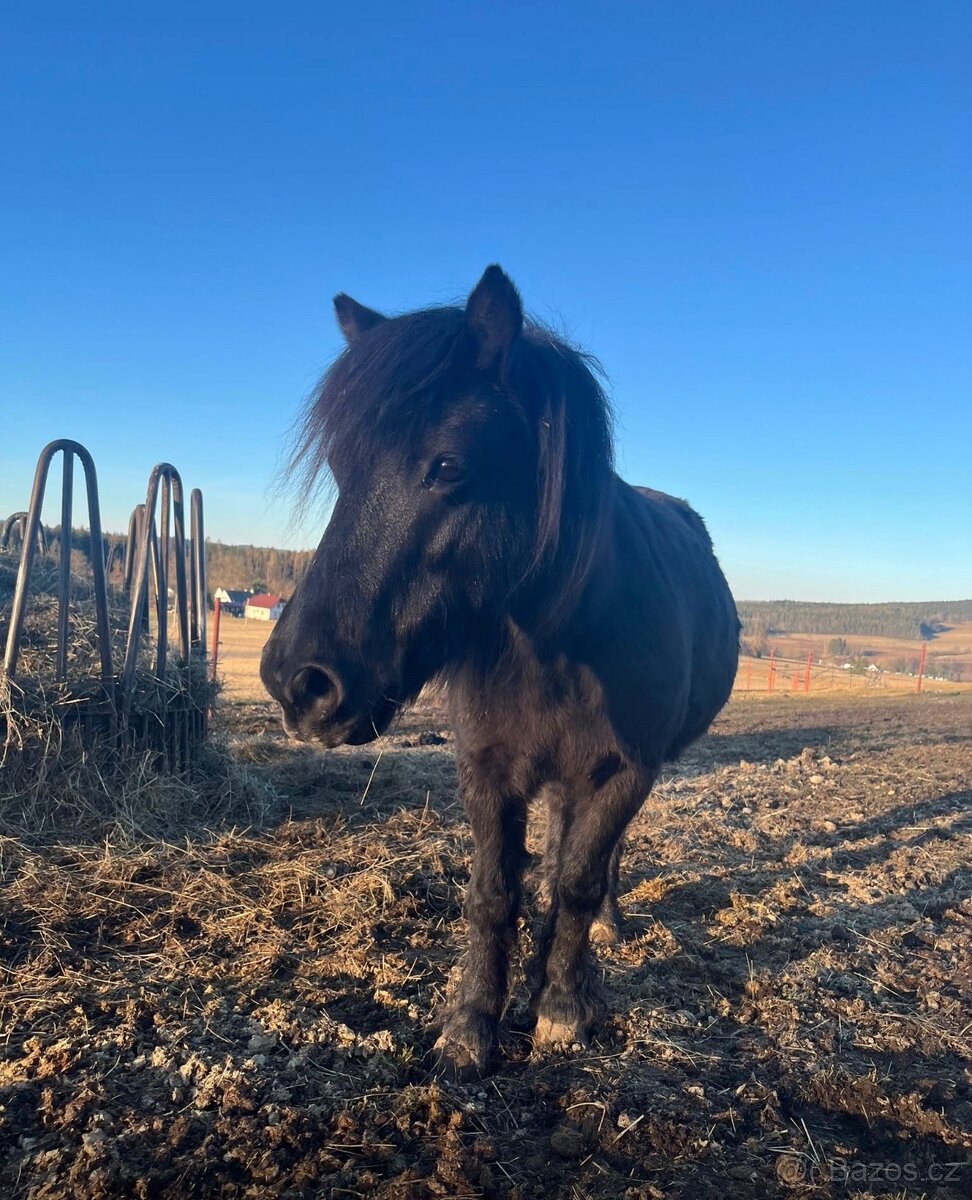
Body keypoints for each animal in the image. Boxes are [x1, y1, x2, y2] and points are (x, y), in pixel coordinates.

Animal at [260, 266, 739, 1076]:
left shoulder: (625, 771)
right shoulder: (487, 767)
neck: (559, 647)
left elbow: (578, 882)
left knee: (599, 863)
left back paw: (602, 930)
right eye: (339, 468)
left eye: (448, 466)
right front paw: (471, 1024)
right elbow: (493, 892)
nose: (299, 682)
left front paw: (562, 1007)